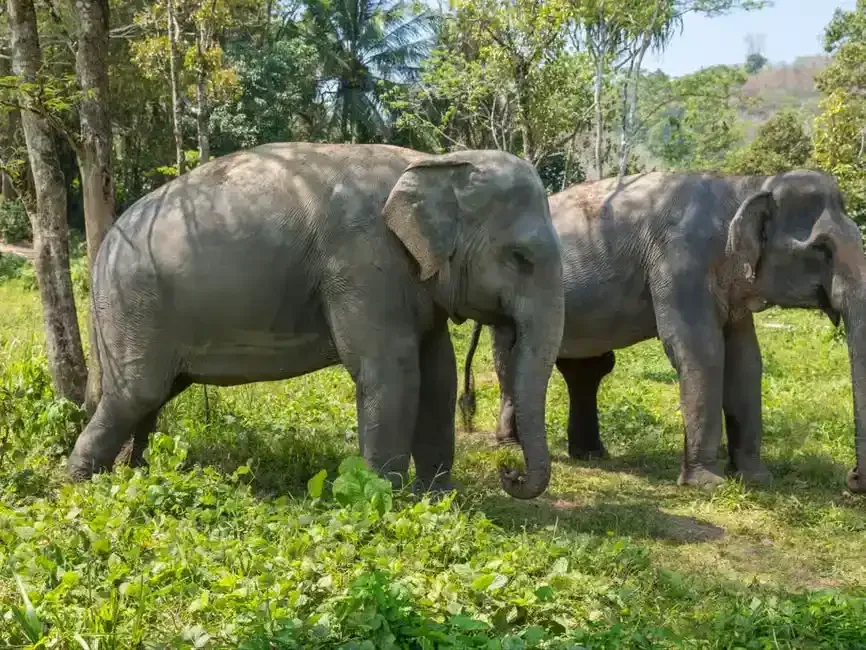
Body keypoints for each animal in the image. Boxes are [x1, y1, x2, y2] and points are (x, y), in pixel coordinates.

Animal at [67, 142, 565, 500]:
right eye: (520, 258)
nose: (509, 473)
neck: (433, 161)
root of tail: (103, 248)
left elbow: (439, 376)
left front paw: (438, 499)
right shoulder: (363, 264)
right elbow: (391, 373)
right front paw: (384, 500)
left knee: (152, 398)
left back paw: (136, 474)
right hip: (134, 307)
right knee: (136, 394)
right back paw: (79, 487)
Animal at [460, 169, 866, 493]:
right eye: (822, 249)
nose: (852, 479)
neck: (745, 185)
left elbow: (746, 360)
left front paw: (756, 479)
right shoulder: (679, 262)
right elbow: (702, 352)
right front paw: (707, 485)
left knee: (586, 368)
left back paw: (590, 454)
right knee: (514, 358)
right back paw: (511, 449)